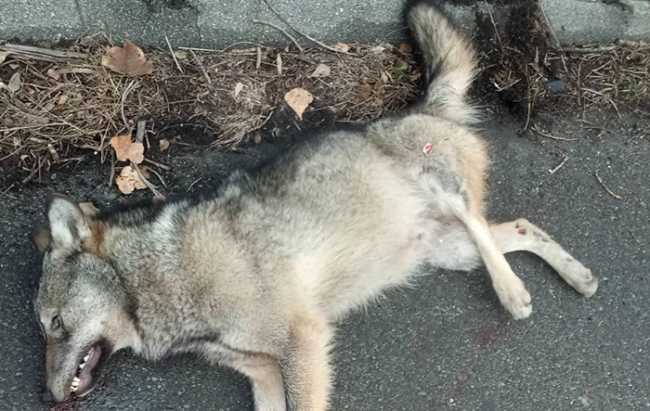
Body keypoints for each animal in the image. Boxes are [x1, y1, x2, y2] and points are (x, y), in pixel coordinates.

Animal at [32, 1, 598, 410]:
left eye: (54, 325)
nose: (49, 397)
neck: (157, 278)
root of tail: (420, 107)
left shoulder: (301, 344)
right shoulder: (263, 370)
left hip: (443, 193)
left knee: (483, 224)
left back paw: (512, 292)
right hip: (448, 254)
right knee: (520, 228)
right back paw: (577, 276)